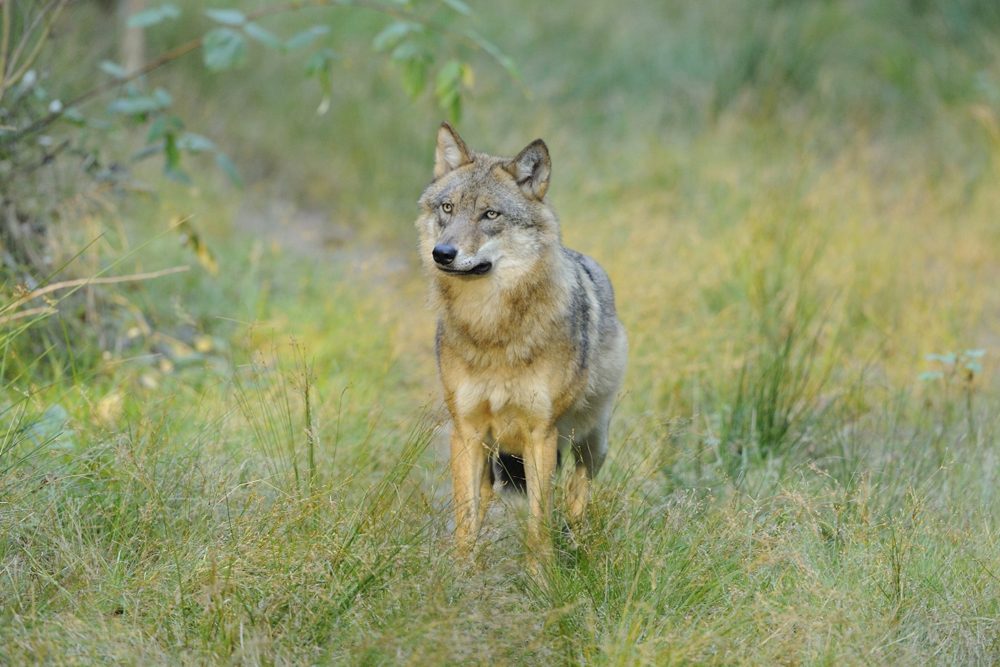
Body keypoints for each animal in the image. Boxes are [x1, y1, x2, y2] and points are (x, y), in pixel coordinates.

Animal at [416, 122, 628, 563]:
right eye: (448, 208)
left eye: (490, 214)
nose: (443, 253)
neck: (492, 327)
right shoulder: (465, 430)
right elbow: (465, 520)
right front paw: (462, 571)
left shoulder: (541, 434)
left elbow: (538, 522)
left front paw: (542, 573)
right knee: (484, 497)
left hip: (591, 442)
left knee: (577, 492)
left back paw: (577, 544)